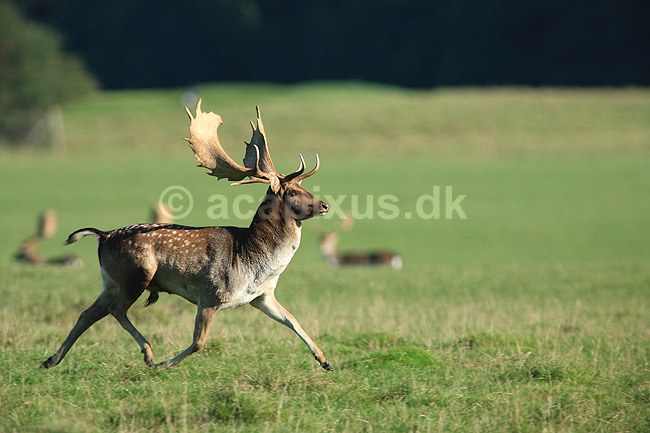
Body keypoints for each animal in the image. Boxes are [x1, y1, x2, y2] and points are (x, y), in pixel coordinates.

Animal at [40, 100, 333, 371]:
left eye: (303, 187)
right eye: (293, 192)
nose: (325, 205)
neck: (254, 263)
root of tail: (102, 236)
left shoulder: (261, 296)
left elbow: (292, 320)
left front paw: (325, 360)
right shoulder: (211, 293)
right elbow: (198, 342)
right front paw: (164, 364)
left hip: (110, 281)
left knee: (88, 313)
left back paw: (51, 360)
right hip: (137, 273)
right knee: (116, 310)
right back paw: (149, 354)